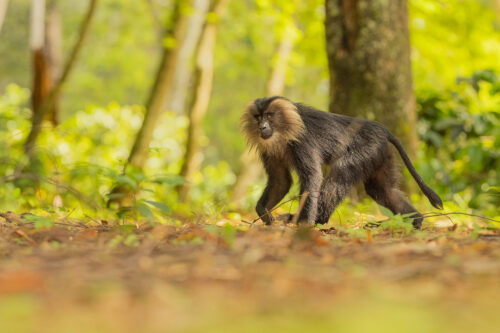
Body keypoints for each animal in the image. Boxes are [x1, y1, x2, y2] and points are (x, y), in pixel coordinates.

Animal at [240, 94, 444, 227]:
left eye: (269, 116)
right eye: (258, 117)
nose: (262, 127)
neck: (284, 131)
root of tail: (379, 128)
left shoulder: (302, 141)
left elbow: (313, 177)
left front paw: (303, 222)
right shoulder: (269, 150)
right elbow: (280, 181)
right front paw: (264, 214)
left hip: (366, 149)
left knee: (340, 174)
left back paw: (316, 220)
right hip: (380, 153)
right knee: (382, 190)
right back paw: (415, 221)